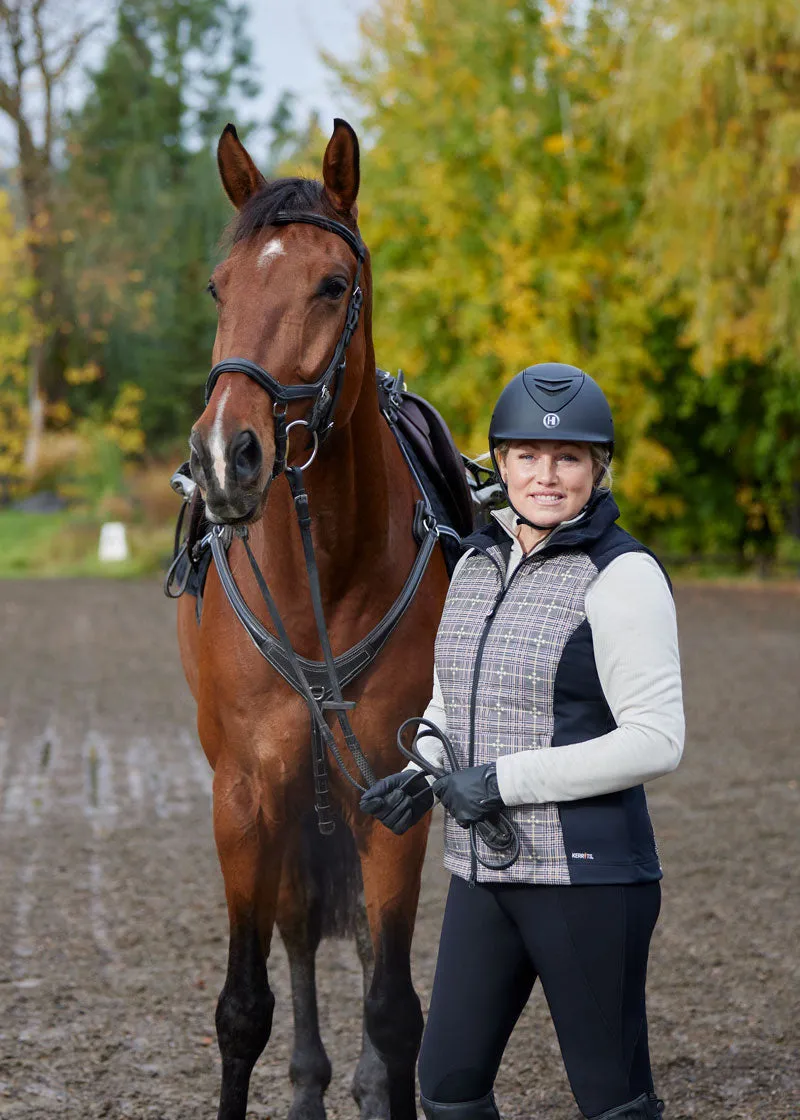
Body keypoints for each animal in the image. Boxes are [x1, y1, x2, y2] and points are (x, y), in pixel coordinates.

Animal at [177, 120, 448, 1120]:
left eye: (332, 285)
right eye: (220, 287)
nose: (225, 455)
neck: (321, 578)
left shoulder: (397, 789)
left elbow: (395, 1010)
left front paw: (382, 1078)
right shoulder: (245, 796)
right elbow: (241, 1009)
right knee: (296, 924)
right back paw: (307, 1085)